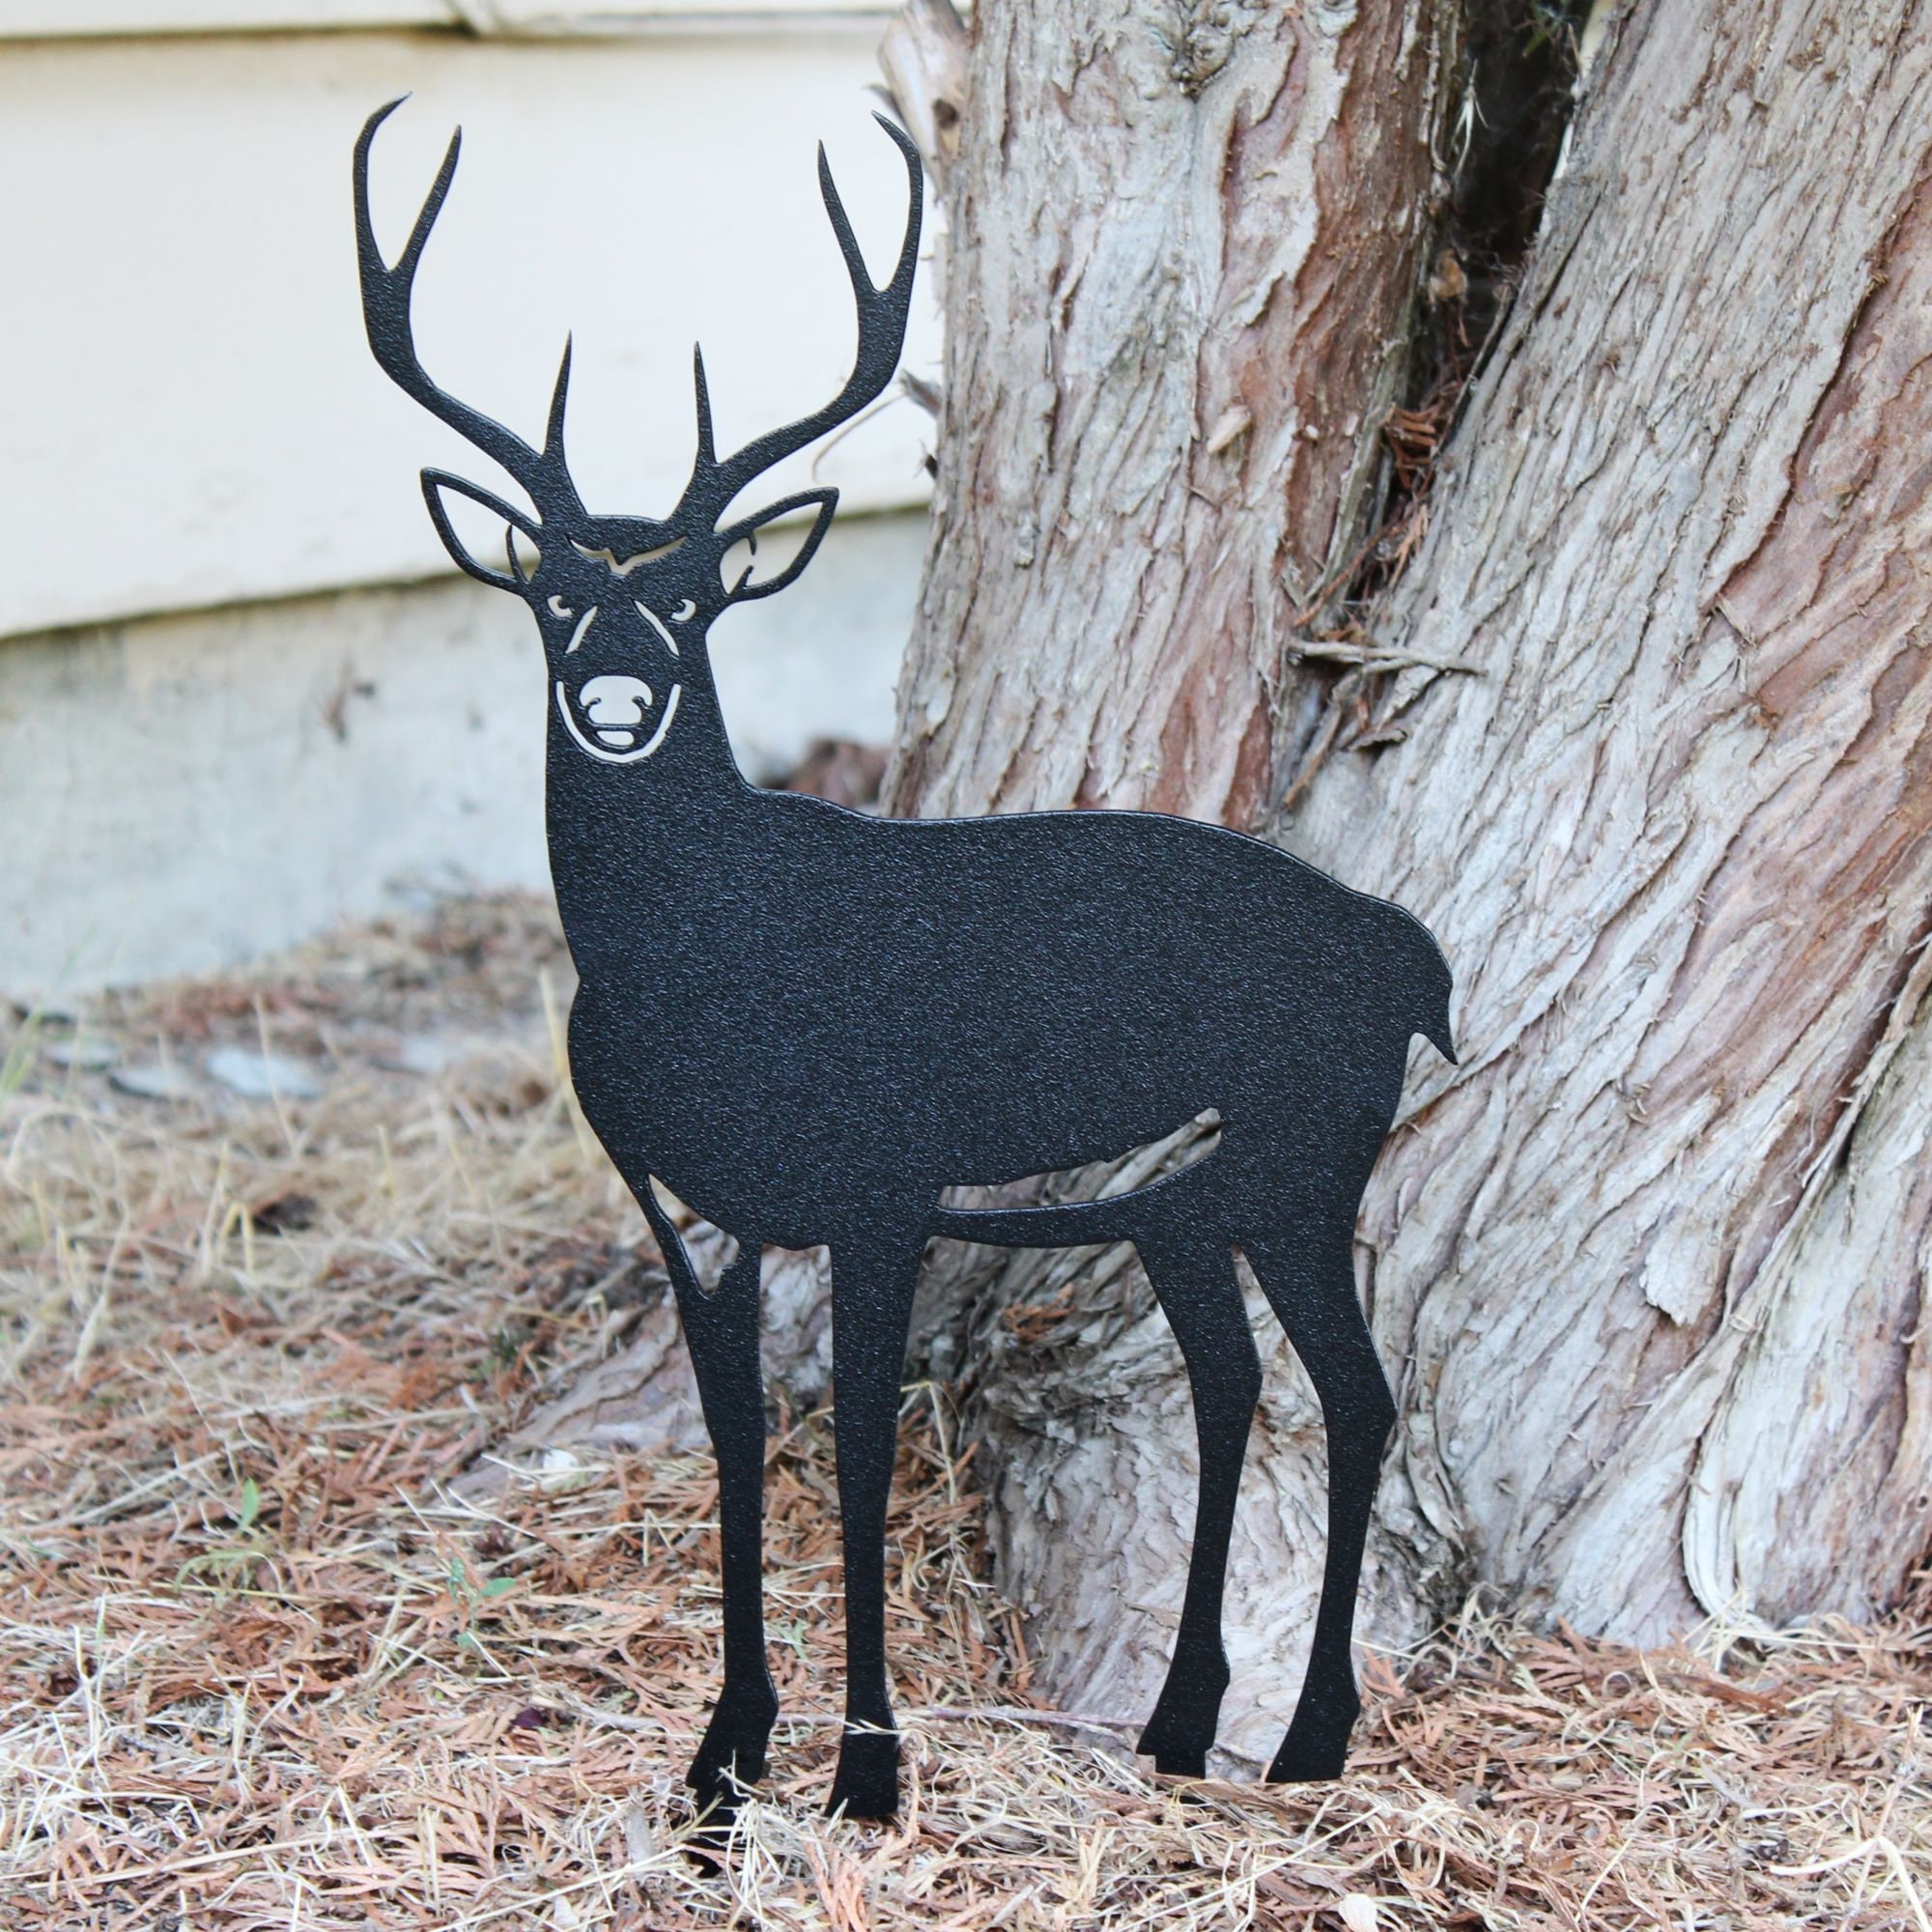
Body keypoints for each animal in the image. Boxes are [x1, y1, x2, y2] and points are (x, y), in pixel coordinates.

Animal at [354, 99, 1455, 1827]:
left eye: (691, 597)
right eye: (551, 596)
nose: (617, 704)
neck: (703, 977)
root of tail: (1408, 950)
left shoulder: (877, 1189)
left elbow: (861, 1452)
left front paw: (864, 1769)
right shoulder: (690, 1212)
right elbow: (738, 1444)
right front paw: (724, 1761)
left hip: (1303, 1152)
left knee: (1357, 1393)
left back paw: (1305, 1739)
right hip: (1186, 1197)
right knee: (1231, 1383)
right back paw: (1177, 1723)